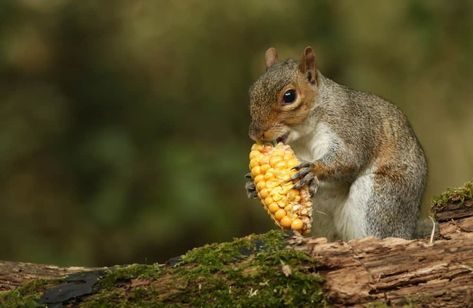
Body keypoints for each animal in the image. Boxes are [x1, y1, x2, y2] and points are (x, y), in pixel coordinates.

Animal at [243, 46, 428, 241]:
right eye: (252, 91)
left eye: (289, 96)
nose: (255, 133)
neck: (303, 136)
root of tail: (409, 230)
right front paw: (251, 184)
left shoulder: (350, 127)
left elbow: (349, 158)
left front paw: (313, 168)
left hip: (380, 198)